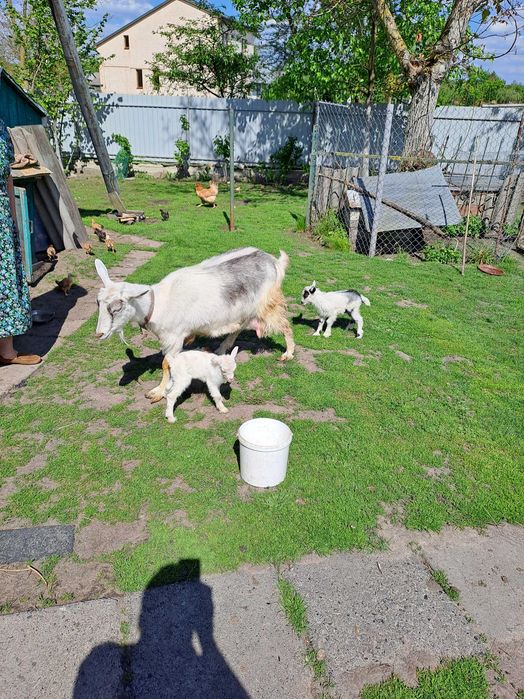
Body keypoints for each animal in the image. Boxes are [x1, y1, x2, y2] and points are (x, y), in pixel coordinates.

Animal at [95, 247, 295, 403]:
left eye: (117, 307)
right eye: (98, 303)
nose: (99, 334)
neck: (158, 303)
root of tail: (273, 261)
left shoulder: (174, 339)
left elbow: (166, 364)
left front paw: (158, 392)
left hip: (267, 303)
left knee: (285, 324)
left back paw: (288, 353)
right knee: (238, 328)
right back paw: (221, 349)